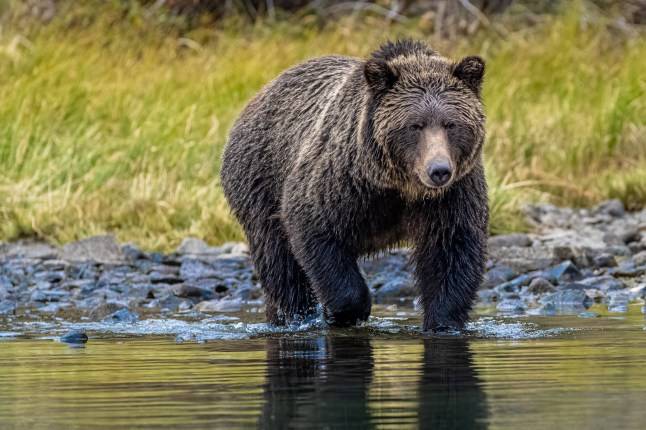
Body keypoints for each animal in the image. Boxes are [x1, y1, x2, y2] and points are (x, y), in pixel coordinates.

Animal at [221, 39, 488, 331]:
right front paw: (344, 312)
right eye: (415, 125)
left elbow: (452, 252)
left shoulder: (452, 195)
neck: (400, 187)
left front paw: (443, 322)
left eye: (451, 124)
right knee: (280, 264)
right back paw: (295, 317)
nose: (439, 170)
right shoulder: (343, 182)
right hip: (260, 179)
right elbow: (314, 227)